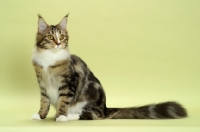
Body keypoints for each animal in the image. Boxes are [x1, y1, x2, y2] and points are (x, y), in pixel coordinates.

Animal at [30, 13, 187, 121]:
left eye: (62, 37)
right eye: (51, 37)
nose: (58, 43)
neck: (49, 58)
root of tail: (105, 108)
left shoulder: (67, 84)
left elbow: (63, 102)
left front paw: (61, 116)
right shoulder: (43, 85)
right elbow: (44, 102)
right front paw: (40, 115)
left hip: (89, 97)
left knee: (92, 115)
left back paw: (69, 116)